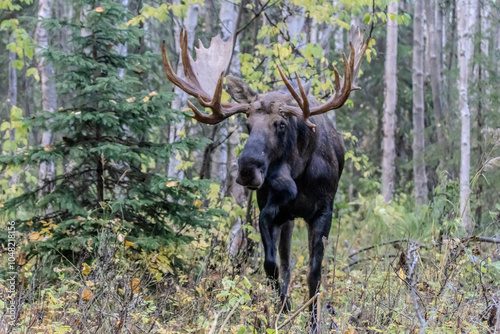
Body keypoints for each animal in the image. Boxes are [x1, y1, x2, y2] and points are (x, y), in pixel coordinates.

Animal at [162, 27, 370, 332]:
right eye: (247, 124)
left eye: (281, 124)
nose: (247, 168)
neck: (298, 174)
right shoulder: (270, 211)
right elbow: (272, 266)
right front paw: (284, 310)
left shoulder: (323, 211)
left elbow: (314, 273)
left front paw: (313, 321)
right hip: (287, 220)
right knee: (285, 264)